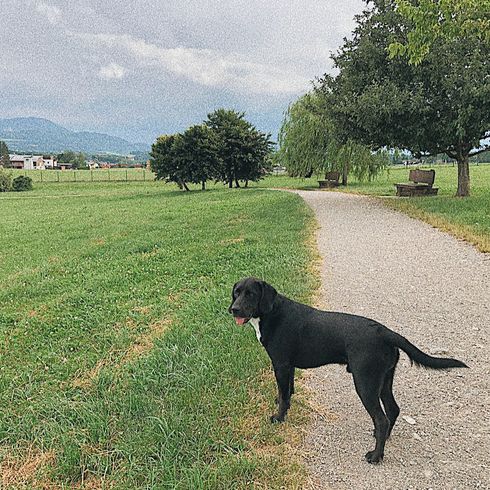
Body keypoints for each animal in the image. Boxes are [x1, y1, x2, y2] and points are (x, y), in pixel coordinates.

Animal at [230, 276, 468, 464]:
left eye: (251, 294)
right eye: (237, 292)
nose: (233, 309)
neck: (272, 314)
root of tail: (385, 332)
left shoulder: (280, 364)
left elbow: (283, 394)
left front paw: (278, 417)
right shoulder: (288, 367)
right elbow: (287, 392)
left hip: (365, 383)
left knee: (381, 418)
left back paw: (375, 456)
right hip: (384, 380)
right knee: (392, 410)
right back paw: (382, 439)